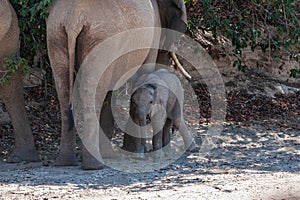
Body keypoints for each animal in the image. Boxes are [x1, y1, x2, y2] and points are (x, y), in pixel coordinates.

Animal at [46, 0, 162, 170]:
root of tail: (73, 19)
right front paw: (143, 151)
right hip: (100, 39)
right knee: (93, 90)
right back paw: (94, 165)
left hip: (55, 34)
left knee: (65, 90)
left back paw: (65, 163)